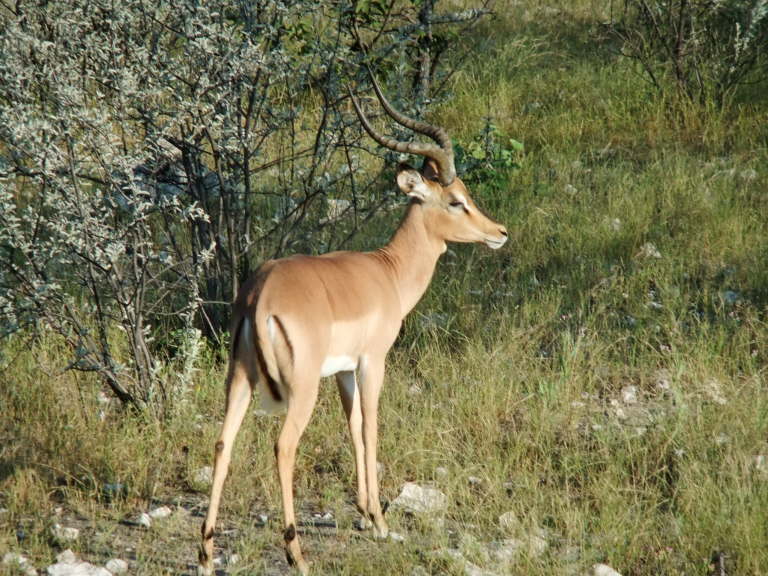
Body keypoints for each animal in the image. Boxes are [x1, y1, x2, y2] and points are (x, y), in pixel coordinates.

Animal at [197, 78, 508, 575]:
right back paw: (296, 553)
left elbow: (353, 425)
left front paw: (364, 514)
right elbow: (371, 426)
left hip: (239, 378)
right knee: (283, 447)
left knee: (222, 443)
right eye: (456, 200)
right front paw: (380, 520)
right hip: (301, 388)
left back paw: (206, 553)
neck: (388, 272)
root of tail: (260, 294)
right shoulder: (372, 362)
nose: (499, 232)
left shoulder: (343, 371)